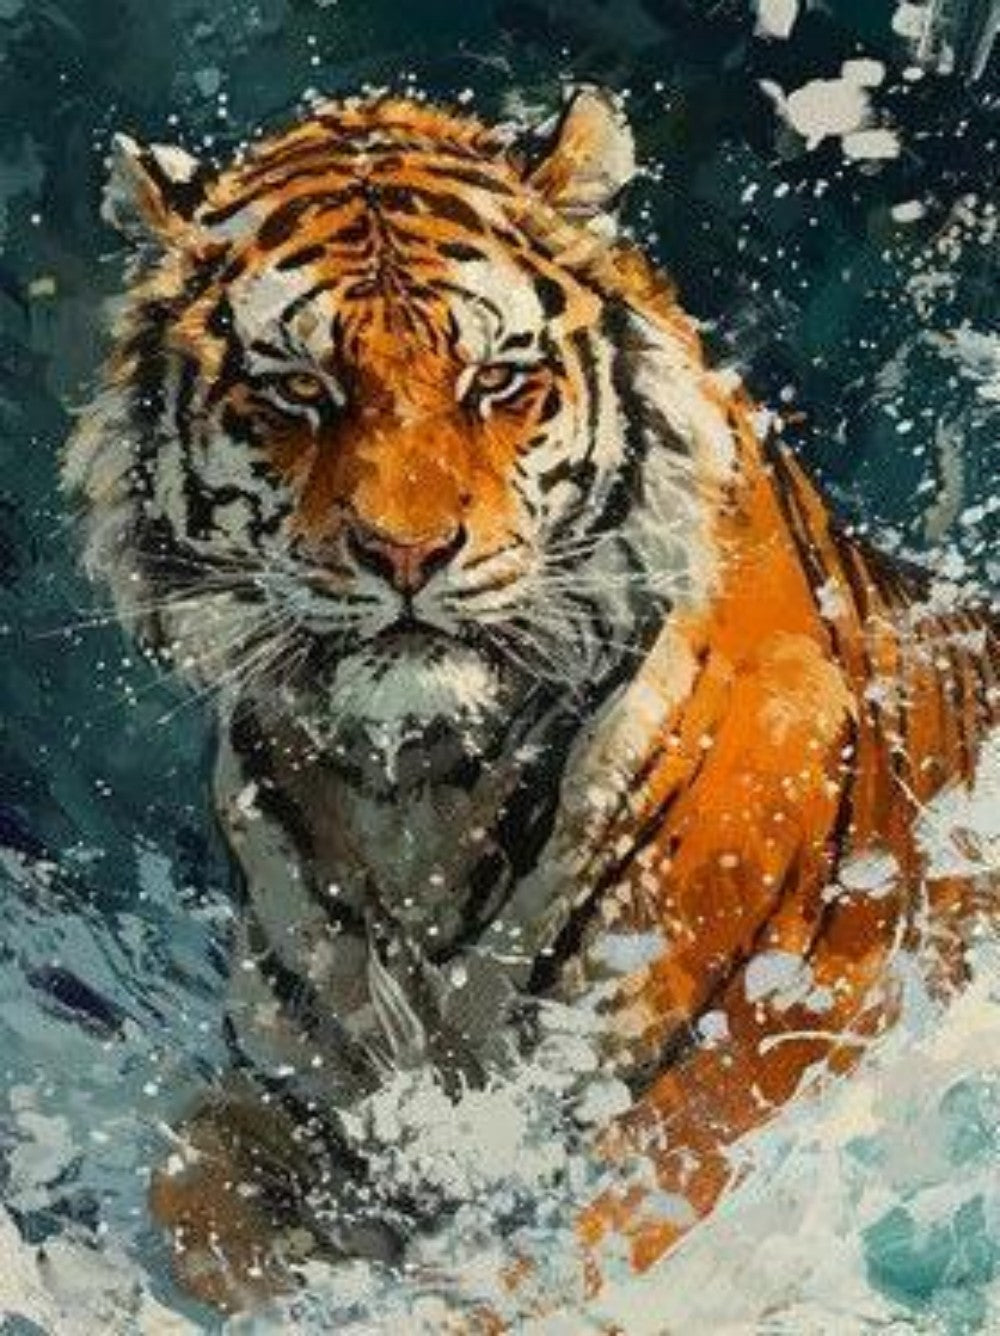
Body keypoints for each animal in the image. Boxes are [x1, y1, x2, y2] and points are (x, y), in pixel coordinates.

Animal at [64, 85, 999, 1321]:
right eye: (300, 391)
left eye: (497, 383)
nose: (406, 554)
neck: (408, 796)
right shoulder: (299, 1094)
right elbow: (195, 1185)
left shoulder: (726, 1082)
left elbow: (538, 1273)